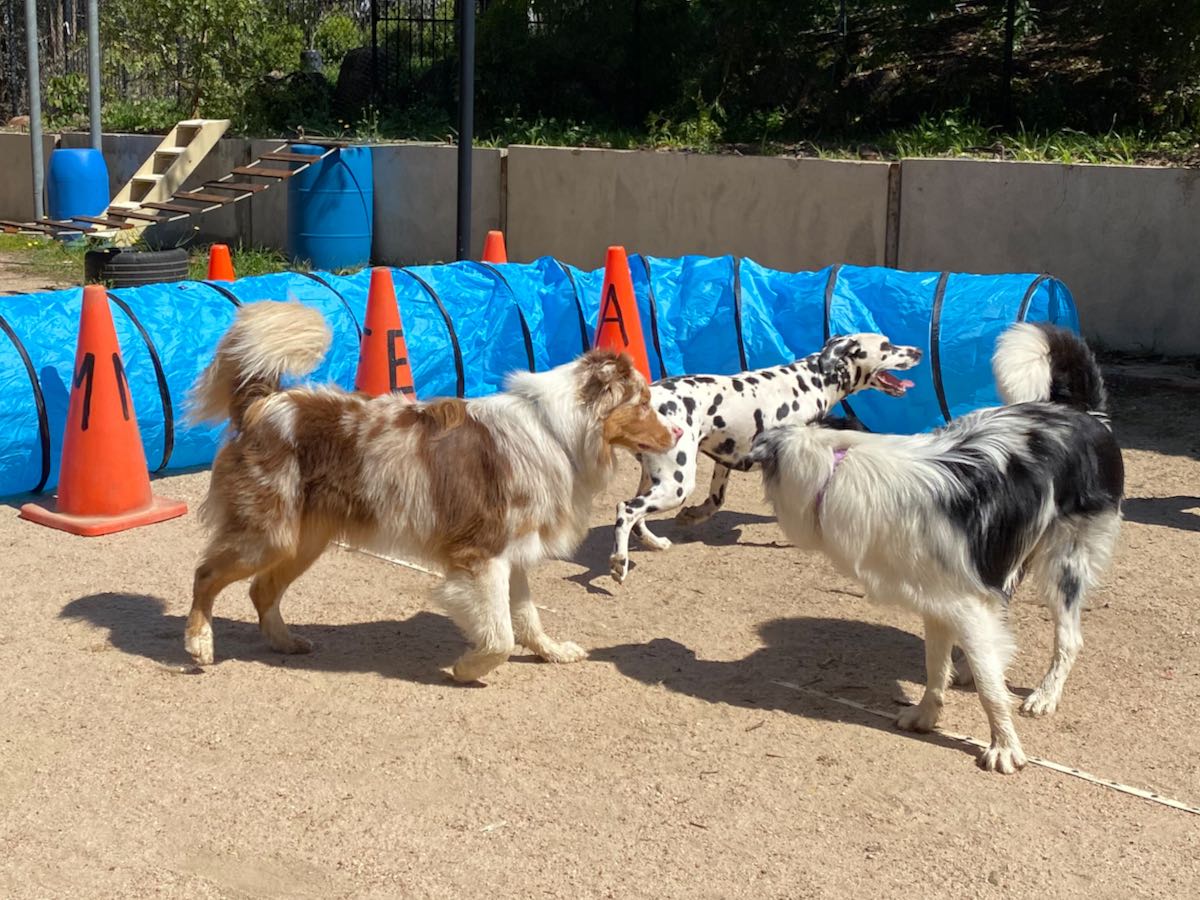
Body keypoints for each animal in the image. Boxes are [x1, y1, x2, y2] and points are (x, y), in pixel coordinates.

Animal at [185, 300, 679, 683]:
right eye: (641, 403)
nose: (677, 433)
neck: (557, 432)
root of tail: (264, 404)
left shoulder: (513, 554)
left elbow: (526, 618)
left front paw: (552, 651)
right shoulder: (481, 556)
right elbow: (500, 636)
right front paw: (467, 669)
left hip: (302, 540)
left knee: (261, 589)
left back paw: (285, 642)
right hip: (266, 535)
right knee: (205, 575)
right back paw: (199, 644)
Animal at [609, 334, 923, 583]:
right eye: (886, 345)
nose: (918, 351)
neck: (813, 380)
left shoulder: (726, 459)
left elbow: (715, 501)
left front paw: (692, 516)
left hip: (656, 479)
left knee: (637, 515)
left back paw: (654, 542)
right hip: (677, 485)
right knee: (626, 510)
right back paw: (619, 563)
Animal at [751, 322, 1123, 773]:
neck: (837, 465)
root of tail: (1084, 413)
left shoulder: (964, 601)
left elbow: (990, 691)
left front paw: (1004, 746)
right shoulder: (937, 598)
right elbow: (934, 667)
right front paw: (928, 713)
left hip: (1063, 563)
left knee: (1069, 639)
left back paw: (1045, 695)